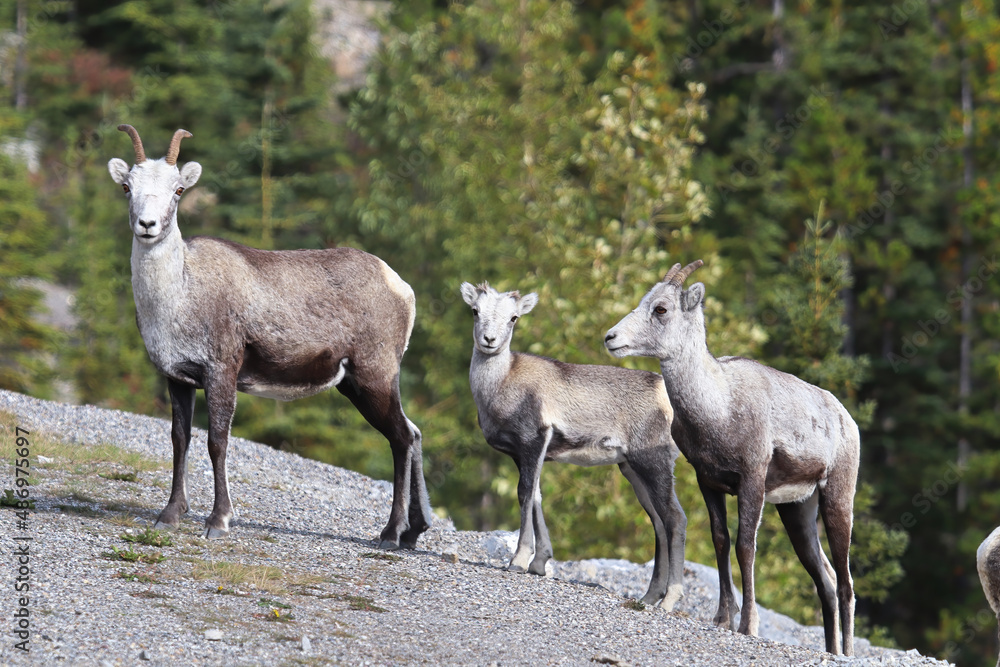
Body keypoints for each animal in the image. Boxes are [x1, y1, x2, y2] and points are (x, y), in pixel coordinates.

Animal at [107, 124, 433, 548]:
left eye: (178, 190)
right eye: (127, 186)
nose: (147, 225)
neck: (180, 294)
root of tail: (402, 289)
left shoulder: (221, 372)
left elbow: (217, 441)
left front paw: (218, 521)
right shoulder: (178, 379)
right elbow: (180, 440)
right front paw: (169, 516)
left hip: (373, 378)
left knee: (401, 438)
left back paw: (391, 534)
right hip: (357, 385)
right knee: (413, 432)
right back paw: (414, 532)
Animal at [460, 281, 687, 610]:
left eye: (514, 317)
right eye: (475, 310)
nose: (489, 341)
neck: (500, 386)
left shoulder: (533, 441)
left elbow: (524, 495)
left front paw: (518, 561)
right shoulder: (525, 455)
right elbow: (536, 496)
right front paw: (539, 564)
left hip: (653, 464)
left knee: (675, 519)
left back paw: (667, 602)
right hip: (632, 470)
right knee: (659, 522)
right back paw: (648, 595)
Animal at [604, 260, 860, 655]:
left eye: (661, 308)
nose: (611, 338)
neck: (719, 406)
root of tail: (847, 420)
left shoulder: (751, 480)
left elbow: (745, 547)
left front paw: (747, 626)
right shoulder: (708, 481)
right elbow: (721, 541)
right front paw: (722, 619)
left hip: (837, 498)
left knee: (846, 583)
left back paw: (845, 652)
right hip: (797, 511)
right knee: (826, 580)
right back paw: (831, 649)